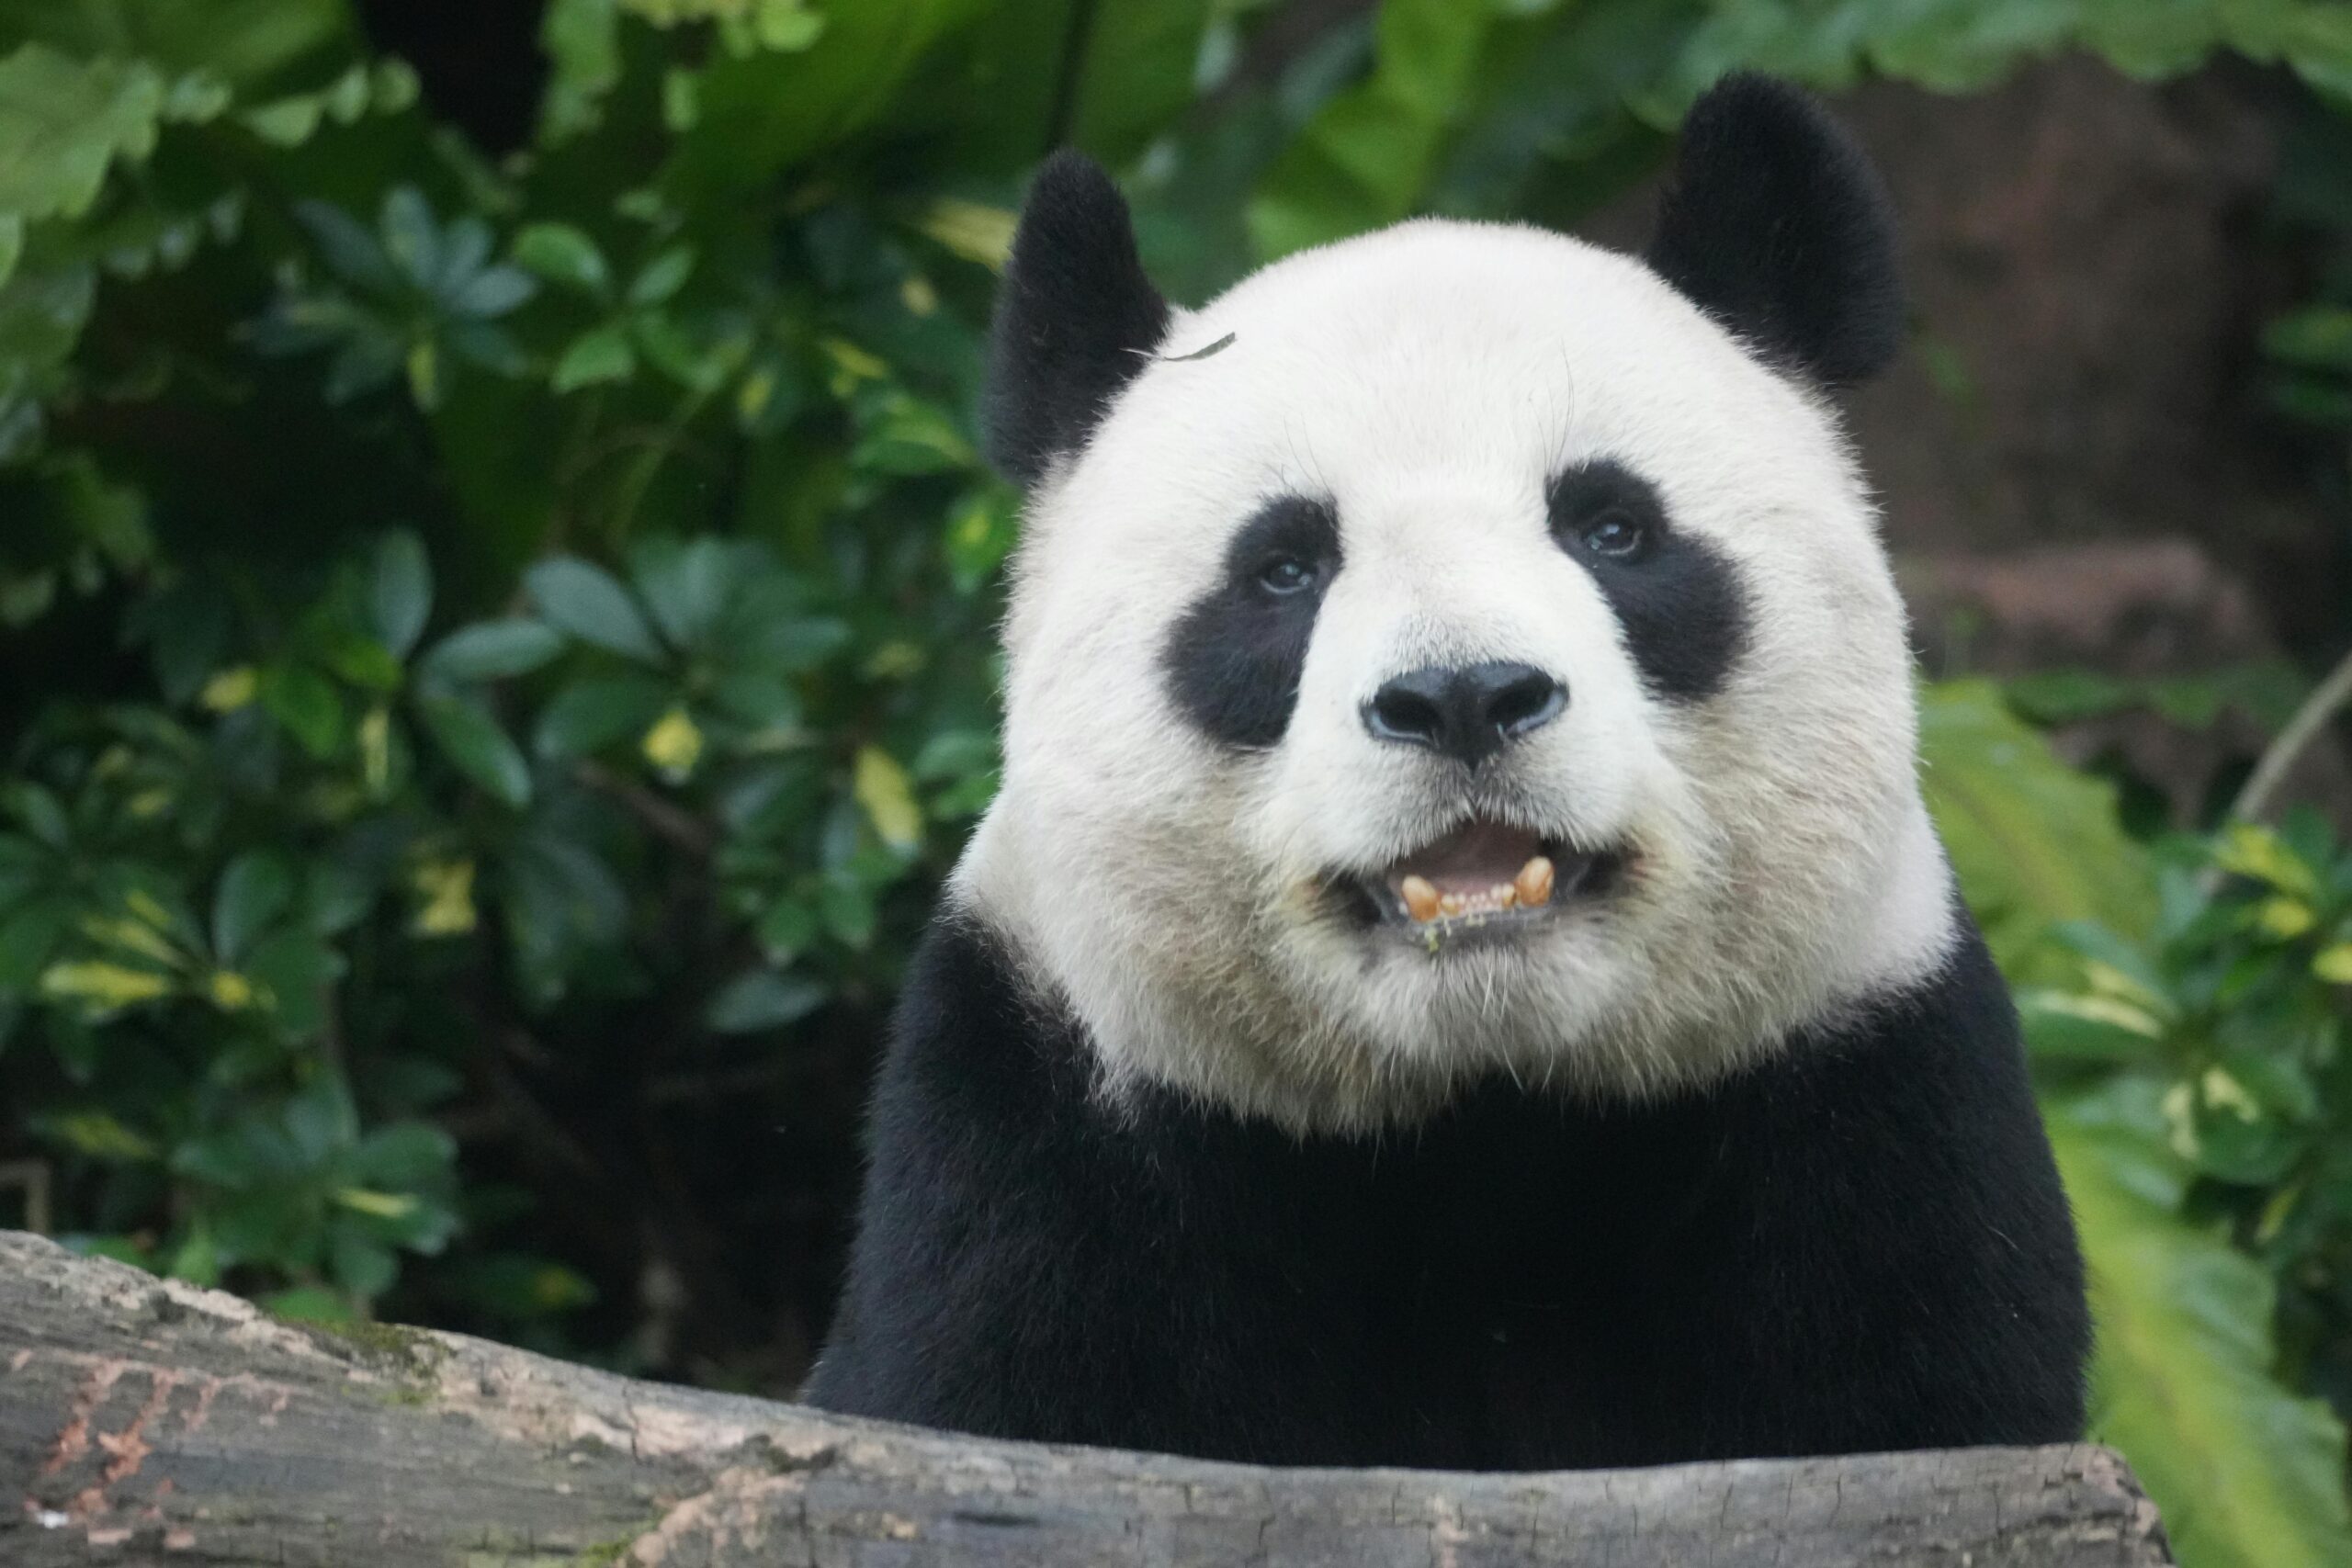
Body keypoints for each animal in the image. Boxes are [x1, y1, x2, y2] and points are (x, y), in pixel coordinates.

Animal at [803, 74, 2091, 1470]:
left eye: (1612, 527)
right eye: (1284, 567)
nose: (1465, 695)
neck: (1482, 1119)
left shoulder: (1866, 1091)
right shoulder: (1048, 1149)